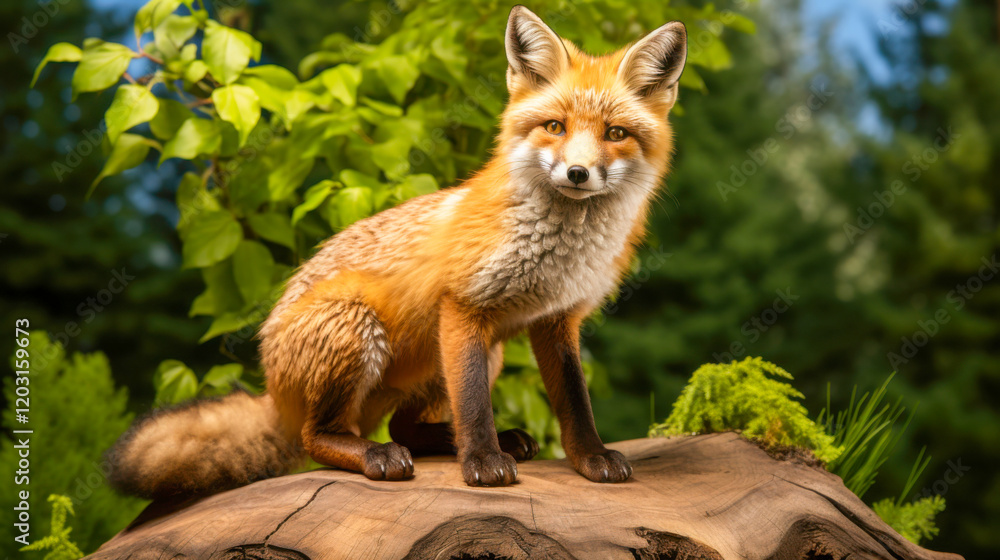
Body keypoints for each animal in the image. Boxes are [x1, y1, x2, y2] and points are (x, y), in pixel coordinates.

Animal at [107, 5, 688, 498]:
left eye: (615, 133)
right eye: (555, 127)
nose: (577, 173)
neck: (559, 253)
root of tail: (272, 390)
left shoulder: (557, 319)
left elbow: (575, 401)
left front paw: (589, 458)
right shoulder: (463, 308)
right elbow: (474, 406)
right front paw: (482, 462)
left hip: (471, 355)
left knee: (405, 425)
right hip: (356, 325)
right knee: (319, 438)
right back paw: (377, 454)